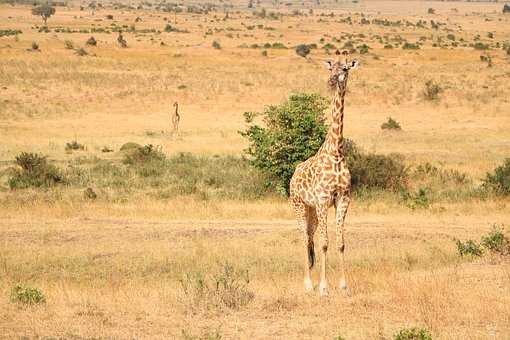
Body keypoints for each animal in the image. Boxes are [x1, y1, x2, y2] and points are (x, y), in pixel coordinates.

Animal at [290, 49, 358, 294]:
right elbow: (324, 243)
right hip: (299, 205)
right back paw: (308, 284)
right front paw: (324, 287)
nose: (331, 81)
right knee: (304, 238)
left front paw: (345, 286)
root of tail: (293, 175)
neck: (336, 151)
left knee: (310, 238)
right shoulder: (322, 200)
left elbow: (340, 243)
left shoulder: (343, 199)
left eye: (345, 68)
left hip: (312, 210)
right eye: (331, 68)